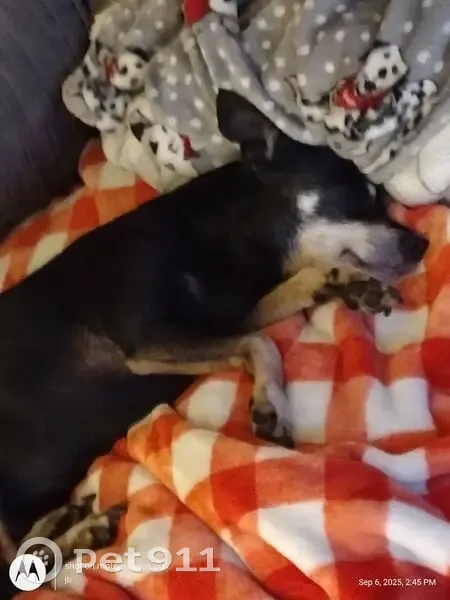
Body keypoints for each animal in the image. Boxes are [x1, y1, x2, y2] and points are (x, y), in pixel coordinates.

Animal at [0, 91, 428, 595]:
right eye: (356, 195)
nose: (422, 245)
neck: (231, 236)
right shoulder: (150, 341)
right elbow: (261, 343)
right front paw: (270, 405)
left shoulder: (234, 313)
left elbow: (301, 284)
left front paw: (352, 283)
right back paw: (76, 534)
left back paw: (66, 526)